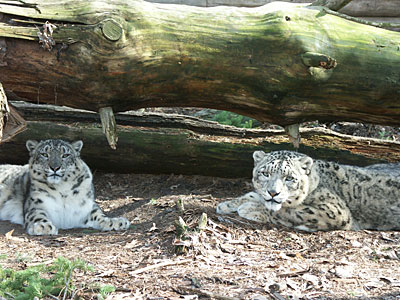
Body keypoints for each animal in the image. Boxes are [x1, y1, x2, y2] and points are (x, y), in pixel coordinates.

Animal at [0, 139, 130, 236]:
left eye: (65, 155)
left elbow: (98, 214)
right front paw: (43, 226)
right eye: (44, 154)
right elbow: (38, 215)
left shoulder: (85, 207)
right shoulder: (36, 205)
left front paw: (116, 222)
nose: (55, 167)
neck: (62, 189)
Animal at [217, 150, 400, 232]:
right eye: (265, 173)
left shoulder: (335, 210)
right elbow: (253, 194)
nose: (273, 192)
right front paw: (227, 204)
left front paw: (250, 208)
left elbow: (290, 211)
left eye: (289, 178)